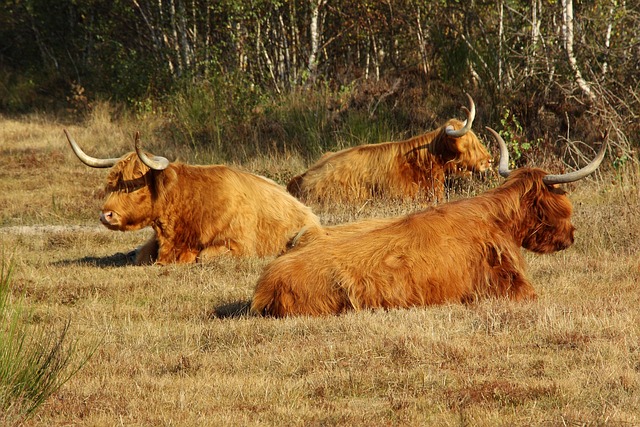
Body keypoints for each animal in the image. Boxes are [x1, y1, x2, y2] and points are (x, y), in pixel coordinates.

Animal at [64, 130, 320, 264]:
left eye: (134, 185)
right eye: (112, 184)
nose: (105, 215)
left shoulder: (240, 246)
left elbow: (203, 256)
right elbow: (142, 255)